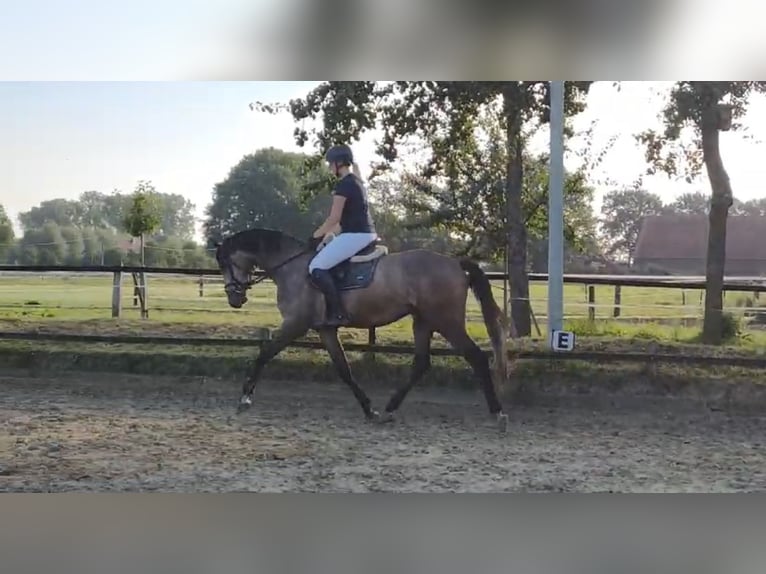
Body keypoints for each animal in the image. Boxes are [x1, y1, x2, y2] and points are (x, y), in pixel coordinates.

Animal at [213, 227, 520, 434]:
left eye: (224, 263)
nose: (234, 299)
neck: (293, 268)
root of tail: (455, 263)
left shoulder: (295, 324)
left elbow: (264, 353)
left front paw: (245, 398)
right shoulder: (325, 330)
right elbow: (344, 370)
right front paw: (368, 408)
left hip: (446, 321)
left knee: (476, 357)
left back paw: (499, 415)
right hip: (422, 321)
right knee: (421, 364)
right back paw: (388, 410)